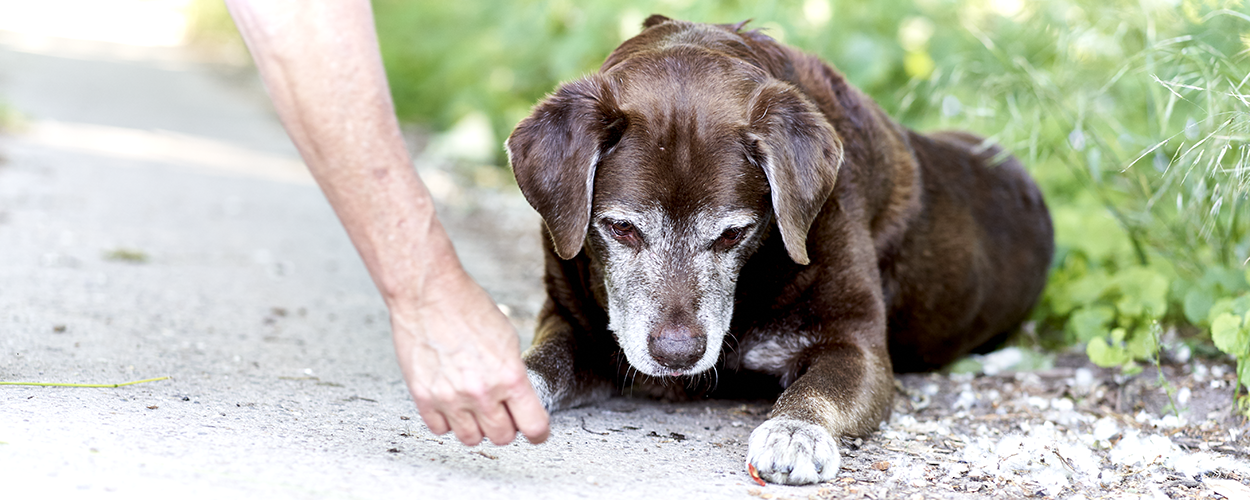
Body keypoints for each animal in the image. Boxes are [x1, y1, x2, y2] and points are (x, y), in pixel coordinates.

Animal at [502, 14, 1050, 485]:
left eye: (733, 234)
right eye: (620, 229)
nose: (678, 355)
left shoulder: (854, 344)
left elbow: (820, 387)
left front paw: (795, 432)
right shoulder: (573, 324)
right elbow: (541, 361)